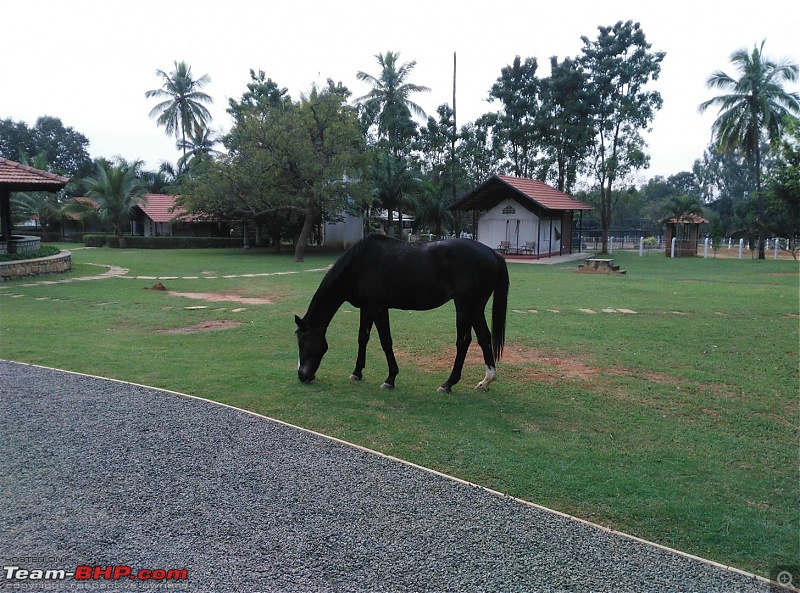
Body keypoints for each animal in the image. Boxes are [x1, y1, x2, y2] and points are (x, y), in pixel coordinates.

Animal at [294, 234, 506, 390]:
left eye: (302, 342)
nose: (302, 375)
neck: (360, 264)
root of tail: (493, 254)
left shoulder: (378, 307)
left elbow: (386, 341)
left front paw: (390, 378)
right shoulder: (366, 307)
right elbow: (363, 337)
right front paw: (357, 372)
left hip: (464, 306)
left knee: (463, 341)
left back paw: (448, 383)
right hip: (475, 307)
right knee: (484, 338)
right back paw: (486, 381)